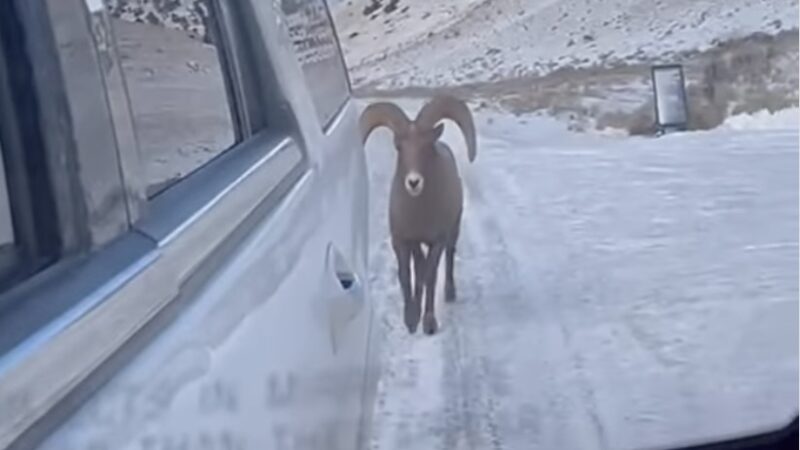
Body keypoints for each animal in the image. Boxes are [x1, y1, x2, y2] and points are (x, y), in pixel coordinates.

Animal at [360, 95, 476, 334]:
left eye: (426, 145)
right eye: (399, 146)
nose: (414, 182)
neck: (419, 213)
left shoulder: (437, 242)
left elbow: (430, 276)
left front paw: (428, 322)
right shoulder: (403, 241)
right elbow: (407, 275)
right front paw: (411, 319)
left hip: (453, 231)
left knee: (449, 257)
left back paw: (450, 293)